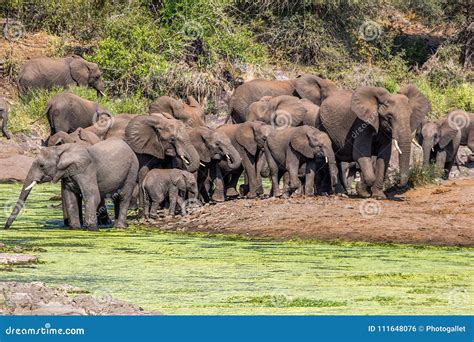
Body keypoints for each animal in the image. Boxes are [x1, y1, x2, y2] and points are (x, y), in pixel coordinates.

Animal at [5, 138, 139, 230]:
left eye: (41, 165)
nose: (6, 228)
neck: (60, 150)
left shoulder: (86, 170)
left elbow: (92, 196)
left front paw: (91, 229)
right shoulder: (66, 174)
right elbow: (70, 198)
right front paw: (75, 228)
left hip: (132, 169)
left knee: (124, 196)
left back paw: (119, 227)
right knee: (117, 198)